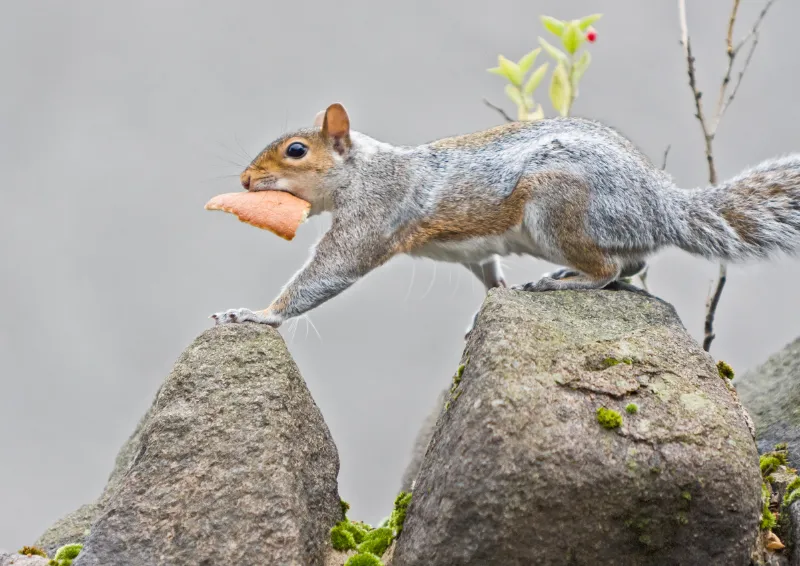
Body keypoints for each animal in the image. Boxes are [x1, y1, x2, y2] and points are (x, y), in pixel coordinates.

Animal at [211, 102, 800, 332]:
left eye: (295, 152)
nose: (244, 181)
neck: (363, 170)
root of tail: (661, 204)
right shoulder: (475, 251)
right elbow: (488, 272)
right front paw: (494, 297)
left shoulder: (376, 215)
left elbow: (331, 270)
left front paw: (257, 315)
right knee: (632, 267)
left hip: (557, 206)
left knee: (609, 269)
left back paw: (564, 281)